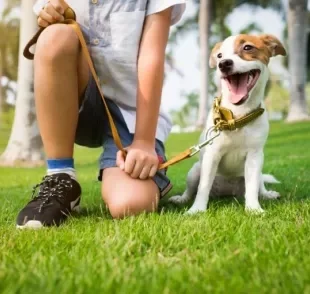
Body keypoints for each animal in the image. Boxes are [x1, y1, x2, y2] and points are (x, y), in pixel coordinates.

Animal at [170, 34, 286, 214]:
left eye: (247, 47)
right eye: (219, 55)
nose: (223, 64)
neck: (236, 117)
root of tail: (227, 192)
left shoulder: (254, 157)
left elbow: (252, 187)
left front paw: (253, 209)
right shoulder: (212, 155)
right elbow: (203, 187)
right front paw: (196, 210)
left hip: (258, 170)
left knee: (260, 186)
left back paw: (267, 194)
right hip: (195, 171)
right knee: (191, 190)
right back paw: (182, 199)